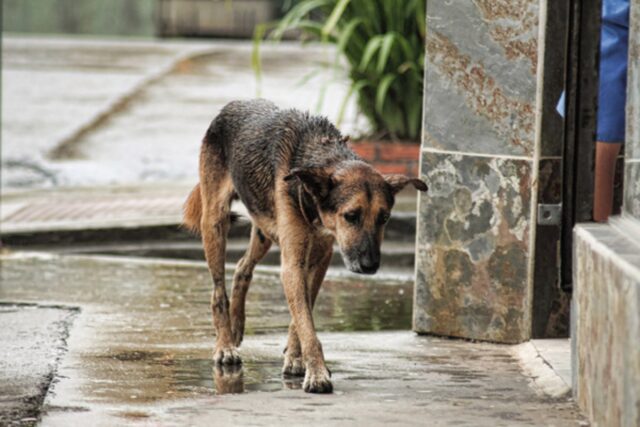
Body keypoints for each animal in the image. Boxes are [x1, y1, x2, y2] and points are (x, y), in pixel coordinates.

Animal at [182, 100, 428, 394]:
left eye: (384, 218)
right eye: (351, 216)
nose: (369, 266)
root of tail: (232, 105)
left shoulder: (320, 258)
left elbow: (302, 314)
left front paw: (295, 357)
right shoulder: (294, 263)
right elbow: (306, 322)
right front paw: (317, 373)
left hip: (264, 231)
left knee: (242, 267)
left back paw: (237, 324)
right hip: (215, 223)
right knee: (218, 291)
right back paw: (225, 345)